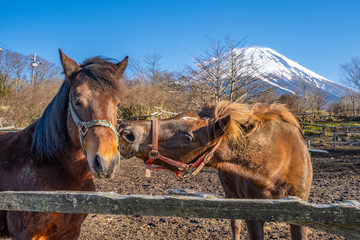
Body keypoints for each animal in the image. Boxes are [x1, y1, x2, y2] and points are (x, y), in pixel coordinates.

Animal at [119, 101, 314, 240]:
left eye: (188, 137)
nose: (126, 131)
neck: (278, 166)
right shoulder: (253, 215)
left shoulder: (300, 216)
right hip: (231, 196)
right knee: (235, 226)